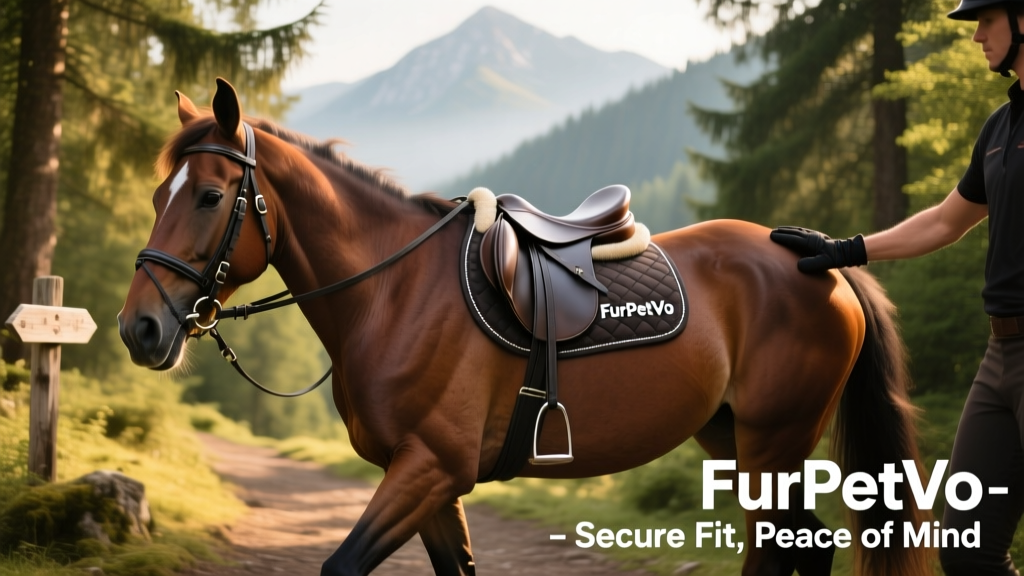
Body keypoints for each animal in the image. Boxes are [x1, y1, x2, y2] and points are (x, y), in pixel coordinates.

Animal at [118, 78, 932, 576]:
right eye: (160, 193)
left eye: (211, 196)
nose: (140, 328)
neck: (395, 292)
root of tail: (815, 256)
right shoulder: (429, 481)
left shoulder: (430, 467)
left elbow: (341, 562)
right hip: (737, 440)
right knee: (809, 547)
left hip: (774, 444)